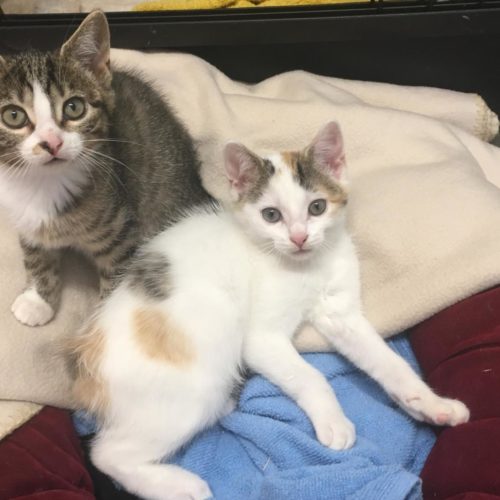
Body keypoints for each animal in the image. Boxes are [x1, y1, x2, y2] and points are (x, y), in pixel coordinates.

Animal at [0, 10, 211, 326]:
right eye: (13, 115)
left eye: (74, 107)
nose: (52, 143)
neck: (43, 183)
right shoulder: (24, 216)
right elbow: (35, 254)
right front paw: (37, 299)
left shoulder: (123, 232)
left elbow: (117, 279)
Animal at [71, 122, 470, 500]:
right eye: (271, 215)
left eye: (316, 207)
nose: (299, 237)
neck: (307, 267)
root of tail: (87, 375)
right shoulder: (261, 339)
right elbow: (312, 375)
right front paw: (334, 422)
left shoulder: (342, 314)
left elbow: (389, 363)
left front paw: (429, 403)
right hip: (196, 388)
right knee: (106, 454)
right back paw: (178, 485)